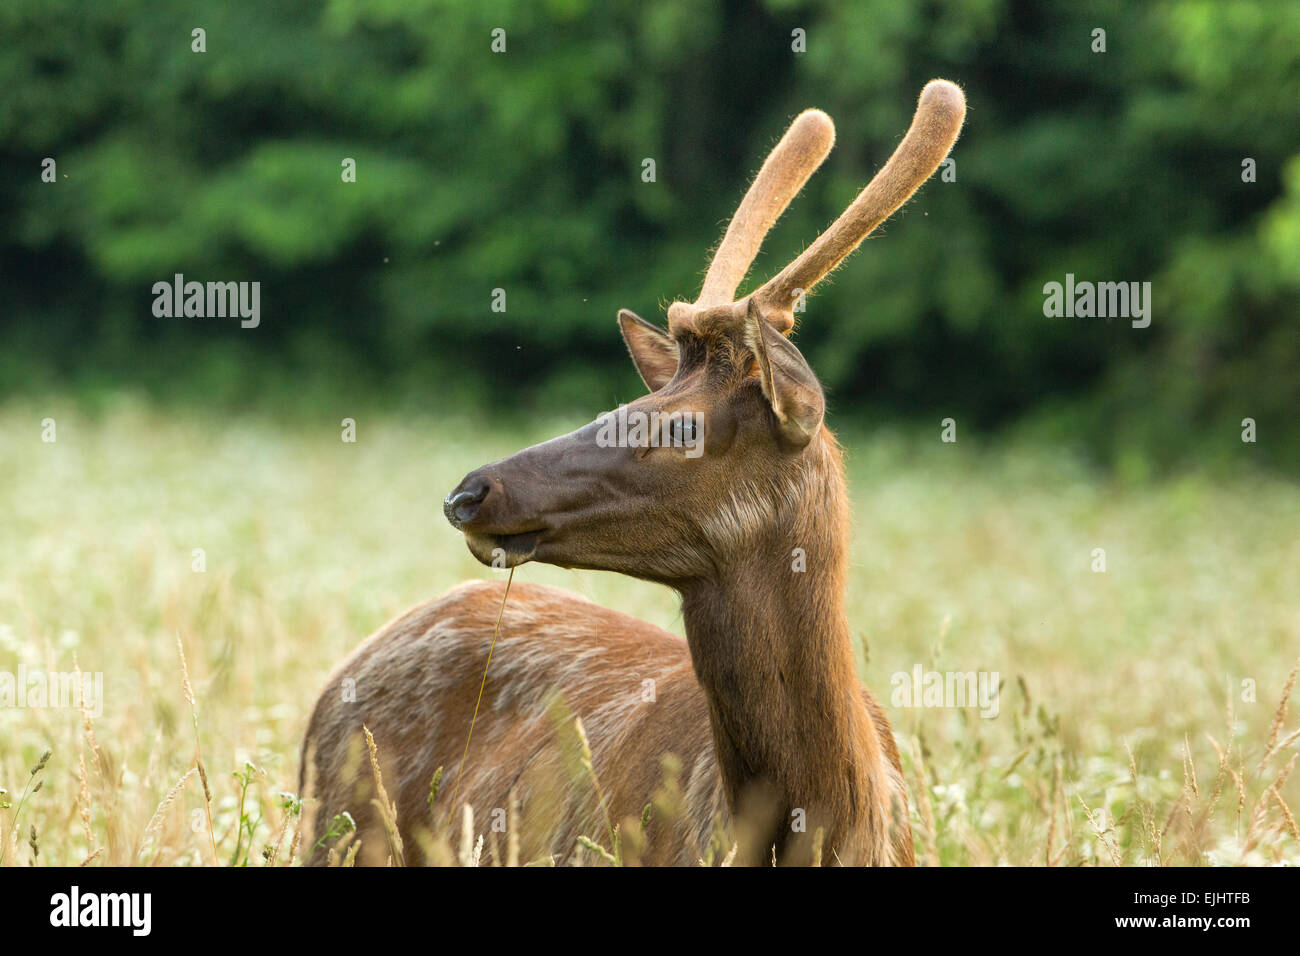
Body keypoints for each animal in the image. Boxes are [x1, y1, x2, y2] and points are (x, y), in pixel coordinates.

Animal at [301, 80, 967, 868]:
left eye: (680, 427)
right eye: (630, 401)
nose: (470, 492)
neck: (830, 825)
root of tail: (332, 685)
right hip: (335, 830)